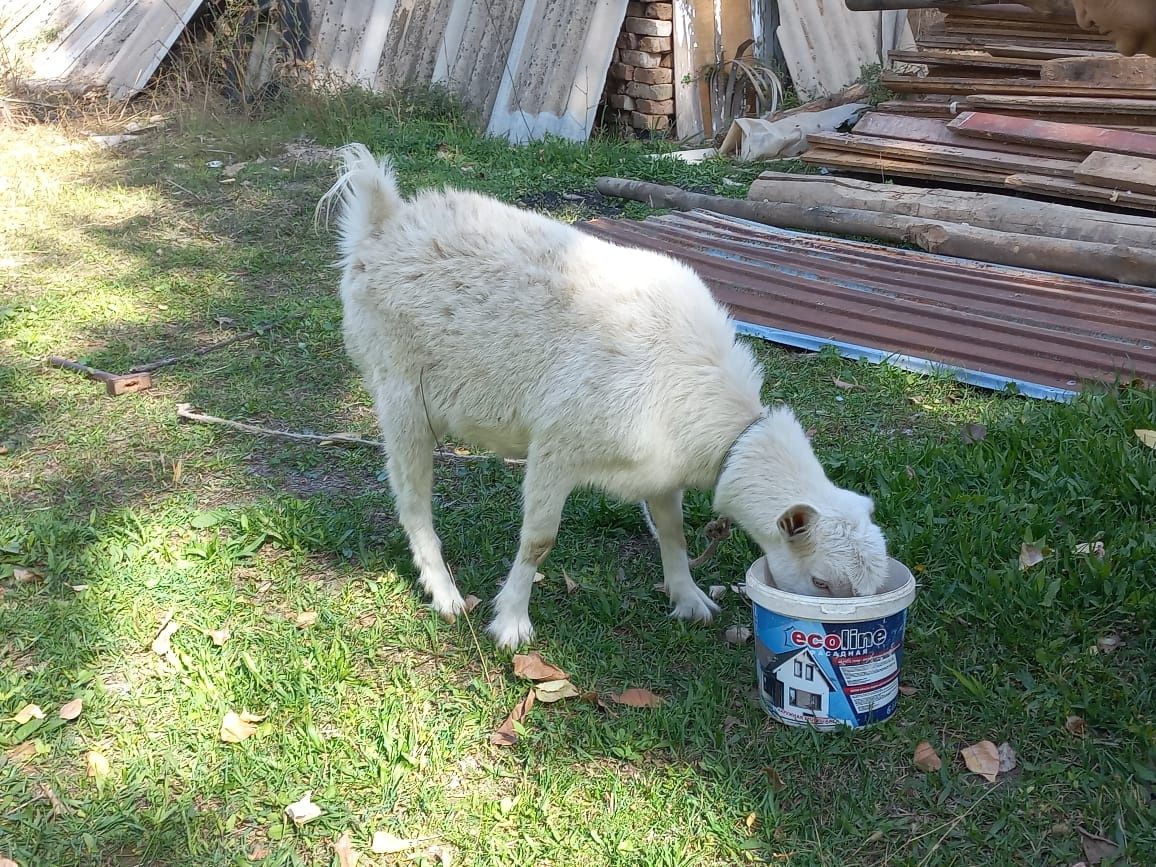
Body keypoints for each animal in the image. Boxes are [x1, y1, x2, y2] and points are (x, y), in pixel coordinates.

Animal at [321, 142, 887, 647]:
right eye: (821, 582)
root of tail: (381, 223)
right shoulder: (557, 446)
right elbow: (539, 540)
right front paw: (511, 624)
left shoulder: (660, 468)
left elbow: (674, 530)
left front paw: (689, 599)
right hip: (399, 388)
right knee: (412, 501)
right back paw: (444, 592)